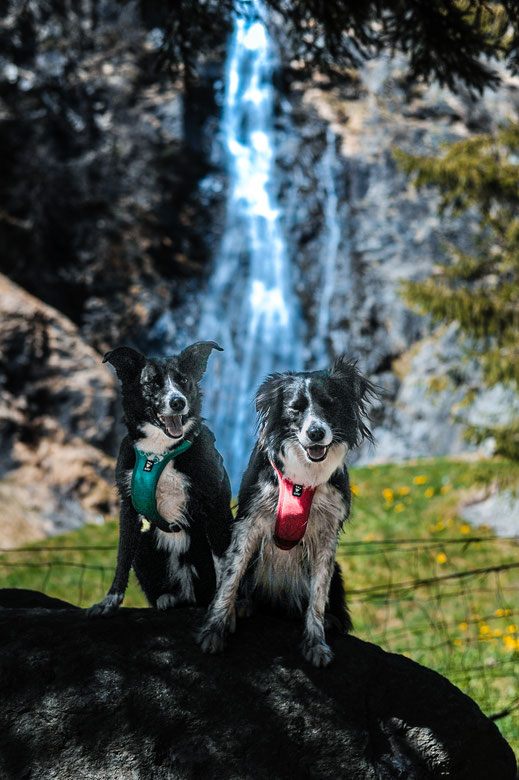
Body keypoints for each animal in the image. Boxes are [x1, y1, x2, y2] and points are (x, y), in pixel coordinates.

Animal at [87, 342, 234, 616]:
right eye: (153, 383)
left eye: (183, 380)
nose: (178, 402)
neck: (160, 451)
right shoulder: (129, 508)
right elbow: (122, 558)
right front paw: (109, 601)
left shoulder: (215, 507)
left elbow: (224, 560)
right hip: (146, 547)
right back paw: (168, 599)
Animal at [197, 356, 376, 668]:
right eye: (295, 408)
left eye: (329, 404)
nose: (316, 433)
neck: (304, 478)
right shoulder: (249, 521)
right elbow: (230, 579)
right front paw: (214, 630)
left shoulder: (327, 533)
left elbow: (317, 596)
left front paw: (315, 643)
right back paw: (242, 607)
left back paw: (332, 621)